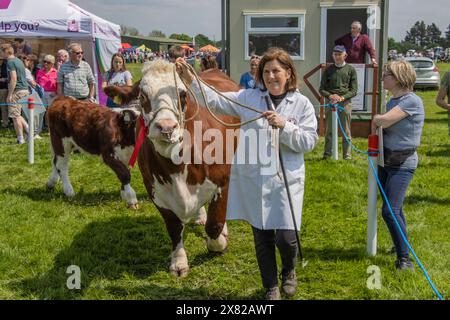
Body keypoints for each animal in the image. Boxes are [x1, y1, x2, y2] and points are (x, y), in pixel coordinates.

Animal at [105, 61, 241, 276]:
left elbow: (215, 224)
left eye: (183, 95)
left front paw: (218, 244)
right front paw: (179, 262)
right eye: (142, 96)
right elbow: (174, 227)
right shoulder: (156, 191)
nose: (167, 127)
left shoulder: (222, 180)